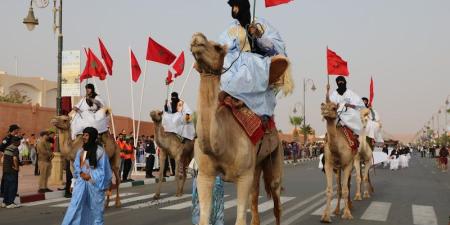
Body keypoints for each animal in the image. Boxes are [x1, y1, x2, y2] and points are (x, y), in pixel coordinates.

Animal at [190, 32, 288, 225]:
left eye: (217, 47)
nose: (197, 38)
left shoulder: (243, 176)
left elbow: (241, 218)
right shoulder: (204, 175)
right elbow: (204, 218)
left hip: (276, 156)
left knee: (276, 201)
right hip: (256, 164)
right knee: (255, 198)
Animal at [320, 87, 358, 222]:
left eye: (333, 108)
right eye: (322, 106)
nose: (324, 112)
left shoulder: (347, 164)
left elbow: (346, 189)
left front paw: (347, 214)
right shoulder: (329, 165)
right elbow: (330, 190)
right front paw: (326, 216)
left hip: (351, 163)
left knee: (348, 185)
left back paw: (350, 206)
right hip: (338, 169)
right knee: (340, 188)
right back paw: (336, 210)